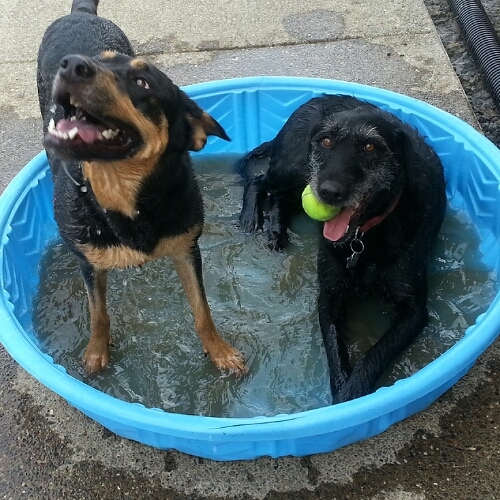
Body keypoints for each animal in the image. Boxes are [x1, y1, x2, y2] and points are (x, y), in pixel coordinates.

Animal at [35, 0, 246, 376]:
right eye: (100, 62)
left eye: (141, 82)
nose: (72, 64)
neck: (124, 193)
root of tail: (79, 13)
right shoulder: (89, 261)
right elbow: (98, 314)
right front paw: (96, 353)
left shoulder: (187, 248)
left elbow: (202, 311)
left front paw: (220, 351)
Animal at [238, 95, 446, 404]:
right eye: (326, 141)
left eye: (370, 146)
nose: (328, 192)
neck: (364, 237)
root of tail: (314, 99)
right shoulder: (329, 296)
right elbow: (335, 349)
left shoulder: (414, 311)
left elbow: (376, 354)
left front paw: (352, 395)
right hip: (293, 168)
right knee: (259, 181)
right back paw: (251, 216)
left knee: (279, 197)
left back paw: (276, 228)